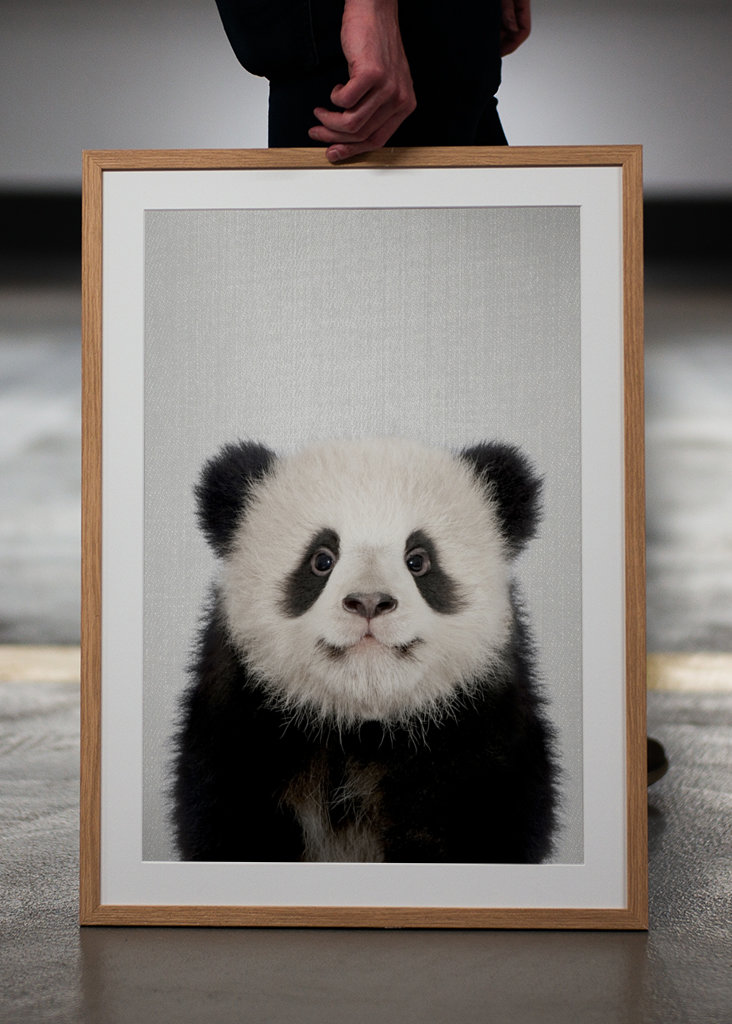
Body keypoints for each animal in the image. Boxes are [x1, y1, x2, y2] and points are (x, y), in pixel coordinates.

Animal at [171, 436, 557, 864]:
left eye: (418, 560)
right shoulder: (242, 730)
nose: (370, 601)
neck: (362, 729)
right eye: (321, 559)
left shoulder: (481, 735)